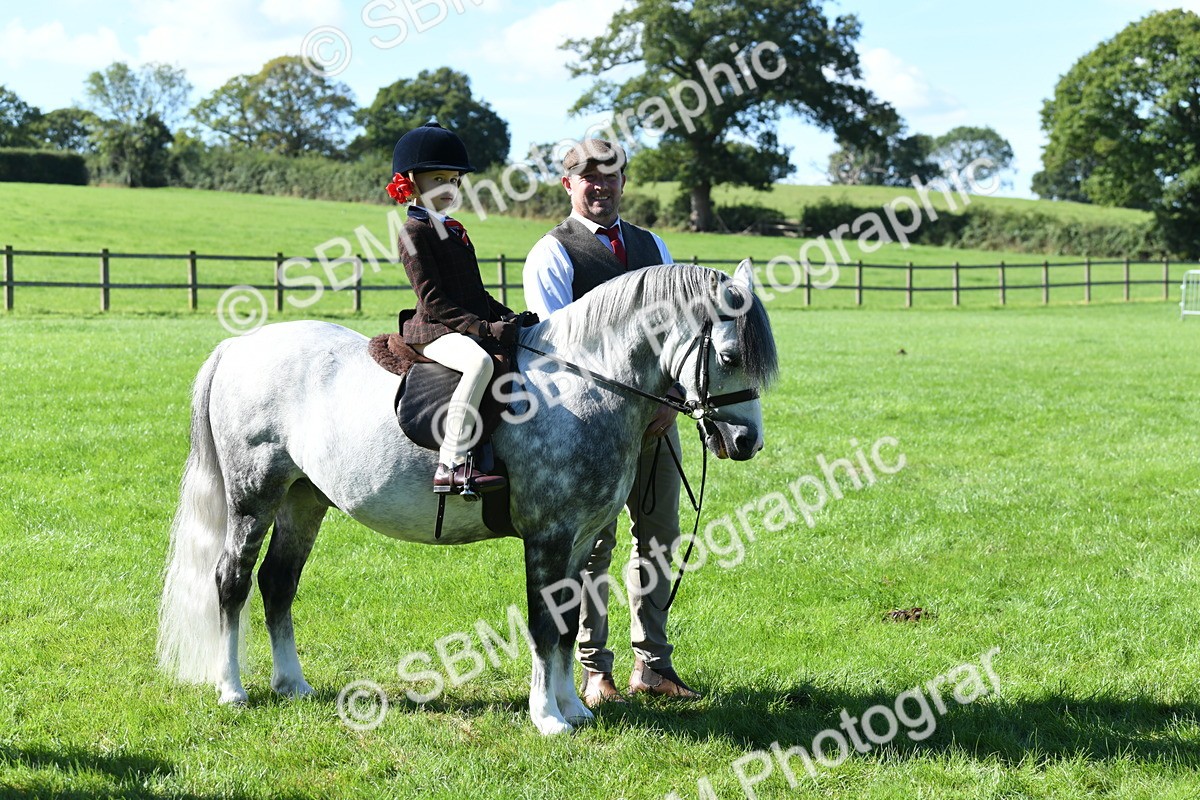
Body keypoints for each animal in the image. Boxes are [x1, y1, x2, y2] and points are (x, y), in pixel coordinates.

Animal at [157, 261, 778, 735]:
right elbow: (544, 624)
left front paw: (573, 709)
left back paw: (294, 685)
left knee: (278, 582)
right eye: (729, 357)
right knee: (233, 580)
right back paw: (232, 689)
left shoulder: (578, 540)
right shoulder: (548, 537)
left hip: (303, 499)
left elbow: (568, 619)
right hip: (253, 494)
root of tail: (238, 347)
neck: (585, 383)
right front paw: (547, 719)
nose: (747, 441)